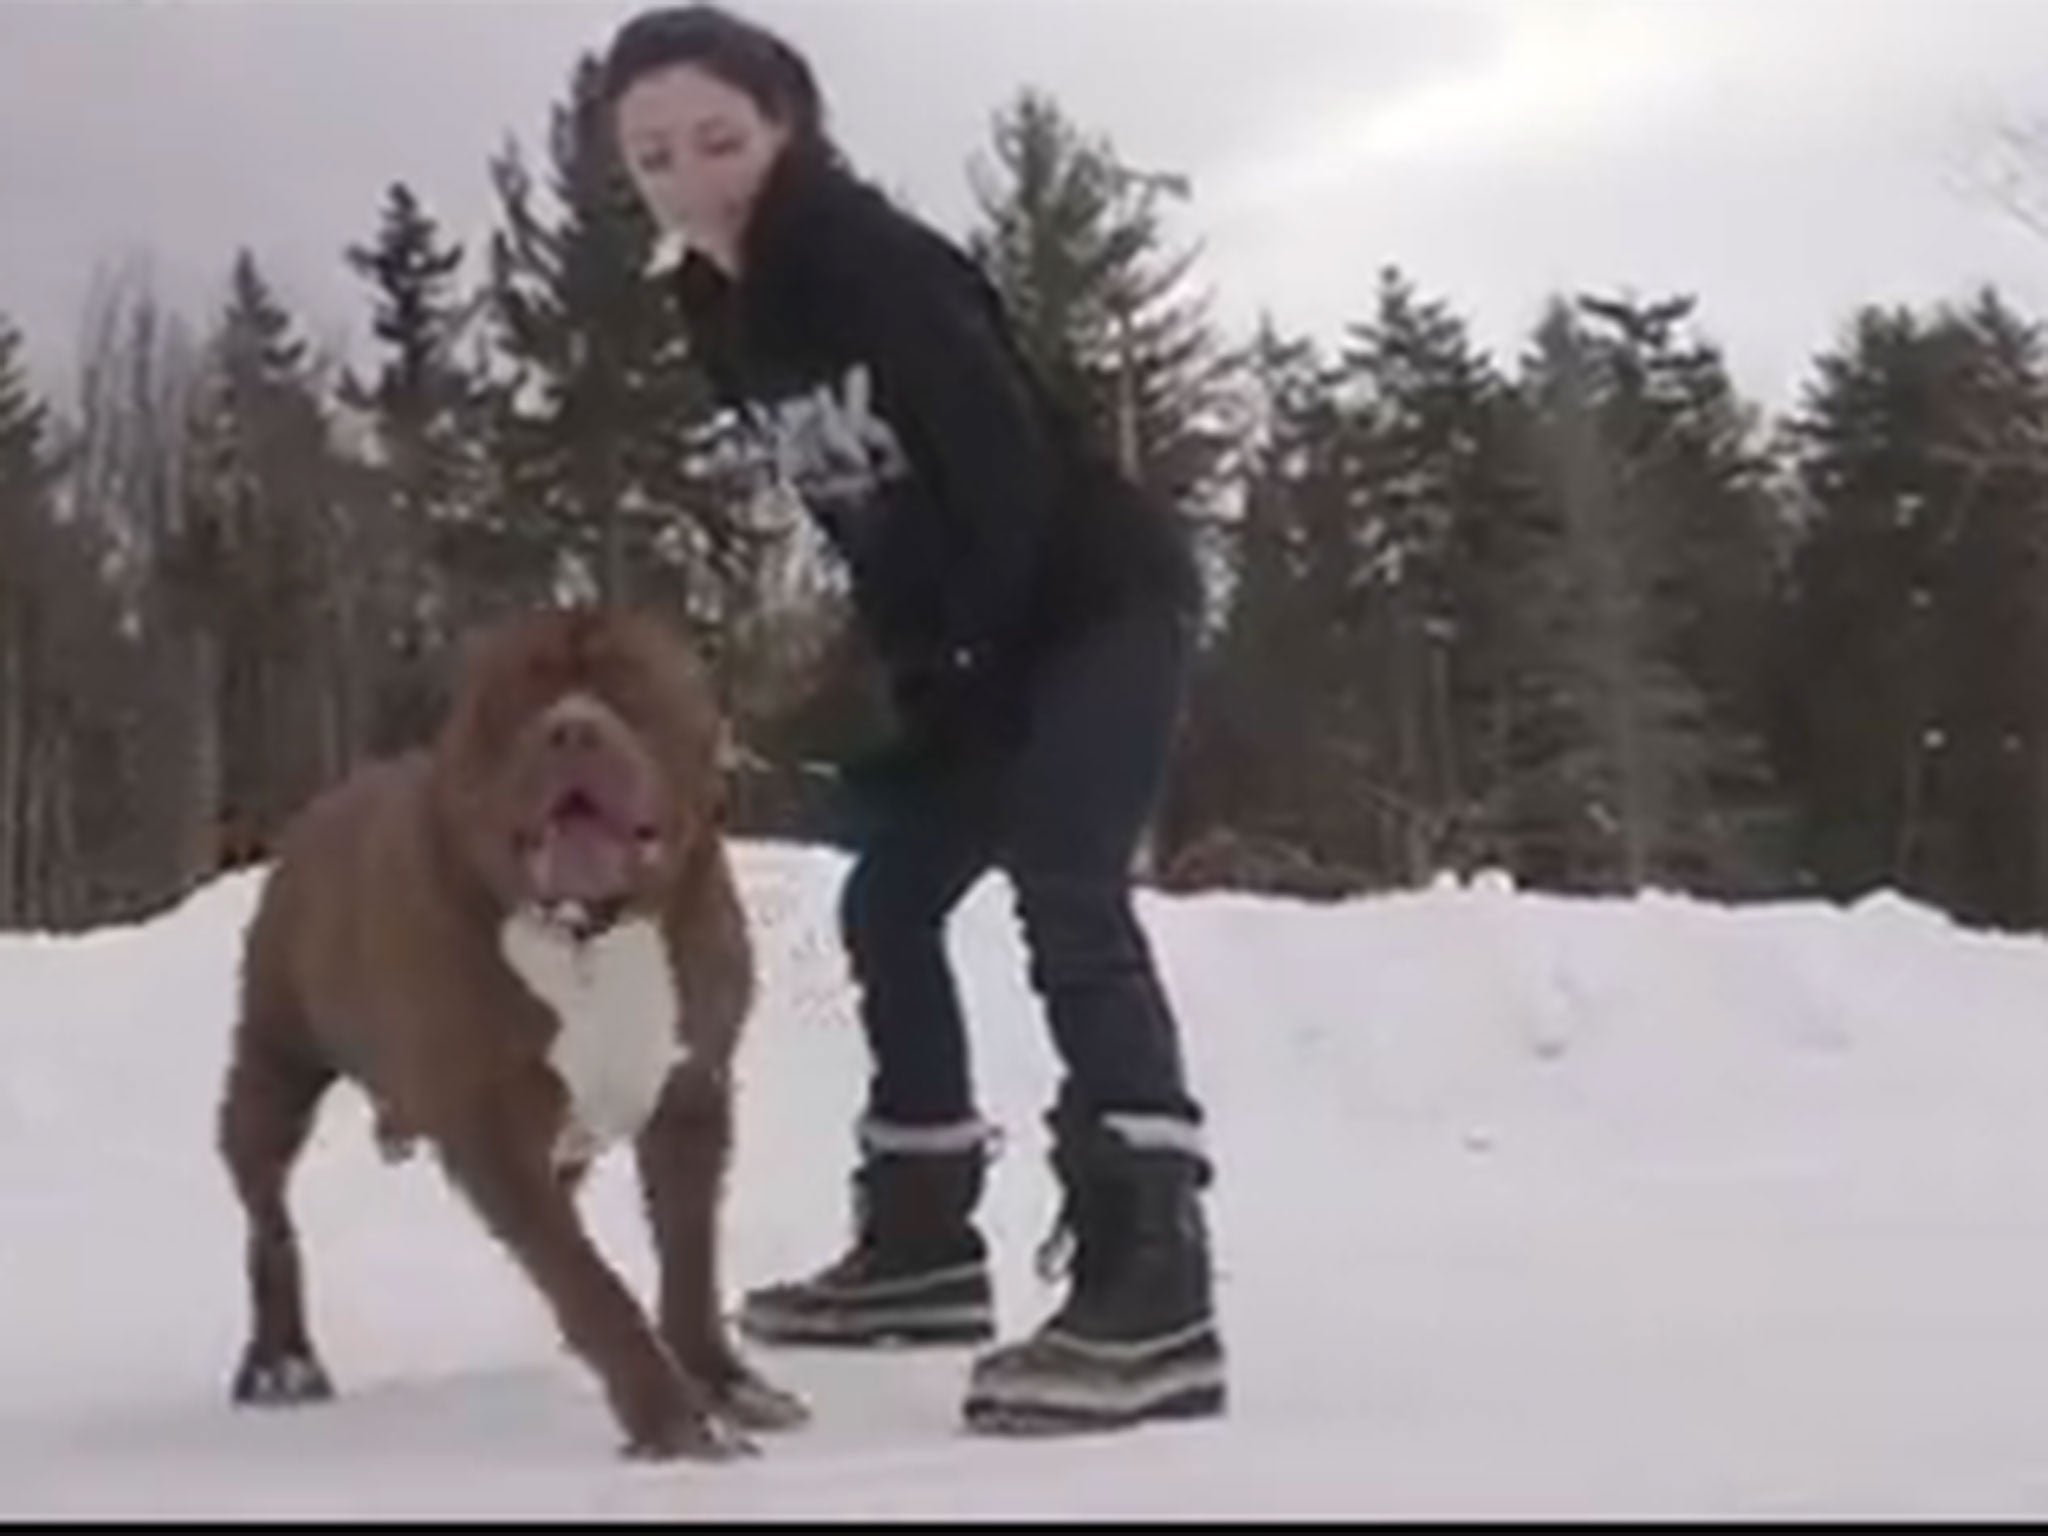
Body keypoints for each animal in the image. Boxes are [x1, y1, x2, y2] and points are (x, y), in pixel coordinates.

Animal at [216, 606, 802, 1466]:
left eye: (628, 686)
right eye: (526, 695)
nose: (573, 730)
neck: (589, 933)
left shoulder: (693, 1092)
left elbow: (690, 1257)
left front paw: (725, 1386)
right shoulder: (490, 1123)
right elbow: (587, 1280)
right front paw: (674, 1421)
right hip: (272, 1066)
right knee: (267, 1214)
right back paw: (282, 1361)